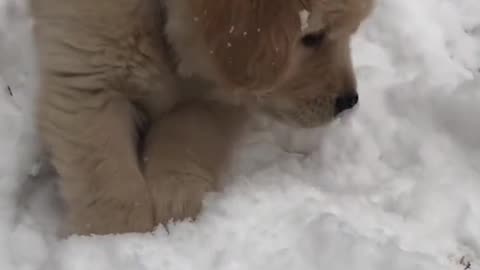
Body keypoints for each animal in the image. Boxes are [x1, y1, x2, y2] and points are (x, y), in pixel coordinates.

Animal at [30, 0, 374, 235]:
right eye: (313, 36)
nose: (349, 101)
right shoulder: (88, 80)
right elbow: (108, 177)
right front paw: (114, 236)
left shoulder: (214, 97)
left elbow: (186, 139)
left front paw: (176, 207)